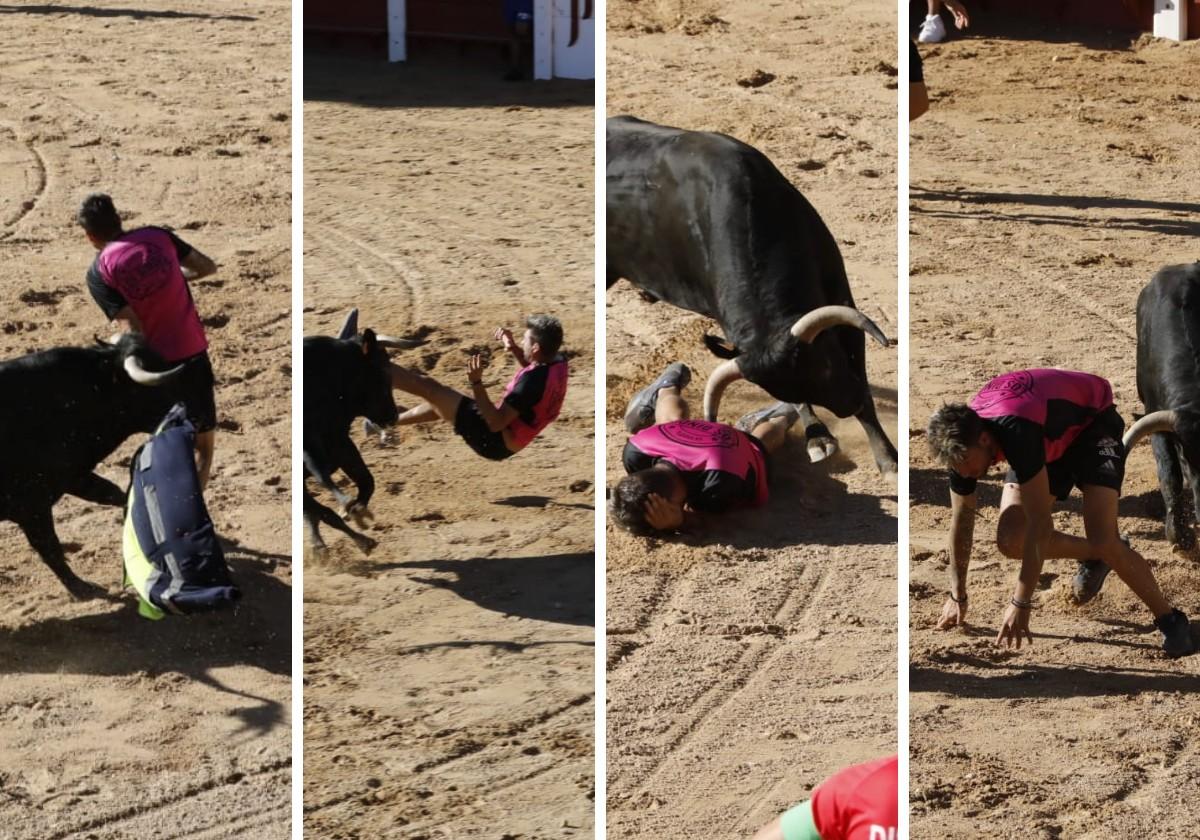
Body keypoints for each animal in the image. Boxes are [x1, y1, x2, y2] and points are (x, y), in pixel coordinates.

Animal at [0, 333, 182, 597]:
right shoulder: (32, 506)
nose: (186, 414)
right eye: (152, 390)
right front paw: (82, 588)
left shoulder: (73, 477)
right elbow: (50, 548)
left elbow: (115, 494)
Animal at [604, 114, 897, 475]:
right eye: (778, 387)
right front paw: (818, 439)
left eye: (826, 364)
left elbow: (863, 378)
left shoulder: (841, 297)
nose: (847, 405)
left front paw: (887, 457)